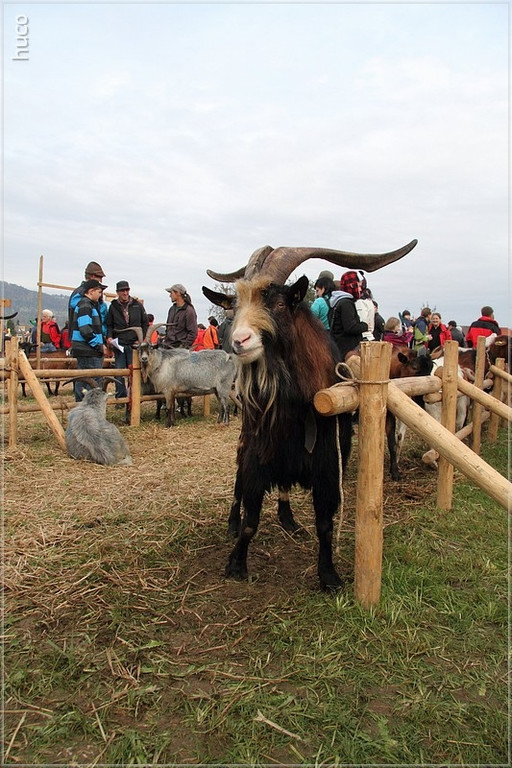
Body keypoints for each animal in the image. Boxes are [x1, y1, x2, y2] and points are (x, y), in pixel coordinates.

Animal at [203, 238, 417, 590]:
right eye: (235, 306)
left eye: (278, 304)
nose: (239, 341)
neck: (294, 409)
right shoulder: (258, 456)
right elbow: (251, 519)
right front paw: (236, 564)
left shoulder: (328, 465)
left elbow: (325, 525)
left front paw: (329, 576)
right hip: (245, 442)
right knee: (238, 485)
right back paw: (233, 522)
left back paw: (288, 519)